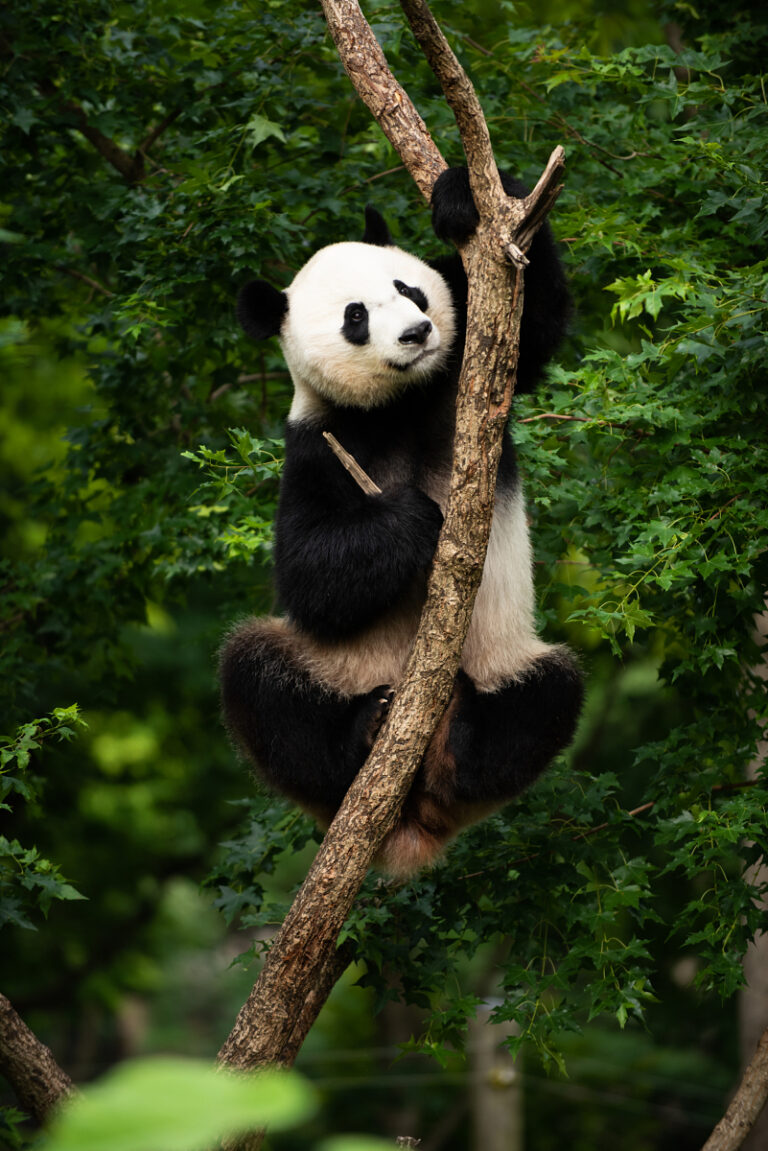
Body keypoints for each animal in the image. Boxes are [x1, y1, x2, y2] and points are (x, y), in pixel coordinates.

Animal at [220, 167, 583, 877]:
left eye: (407, 288)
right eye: (355, 318)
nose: (416, 334)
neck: (399, 403)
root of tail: (411, 818)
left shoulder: (466, 367)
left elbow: (533, 322)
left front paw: (466, 195)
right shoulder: (318, 445)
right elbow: (308, 575)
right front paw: (414, 518)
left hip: (504, 659)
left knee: (549, 694)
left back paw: (463, 743)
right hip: (330, 670)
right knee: (256, 679)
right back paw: (359, 736)